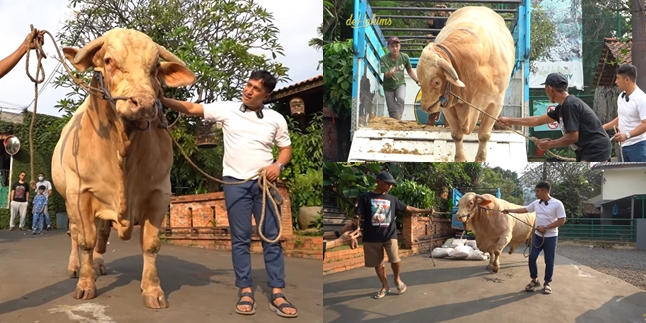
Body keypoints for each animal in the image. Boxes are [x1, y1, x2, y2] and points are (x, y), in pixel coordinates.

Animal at [420, 5, 516, 162]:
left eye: (436, 82)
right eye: (419, 80)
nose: (425, 107)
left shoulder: (495, 104)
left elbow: (484, 135)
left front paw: (480, 159)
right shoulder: (447, 103)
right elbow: (456, 134)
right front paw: (460, 158)